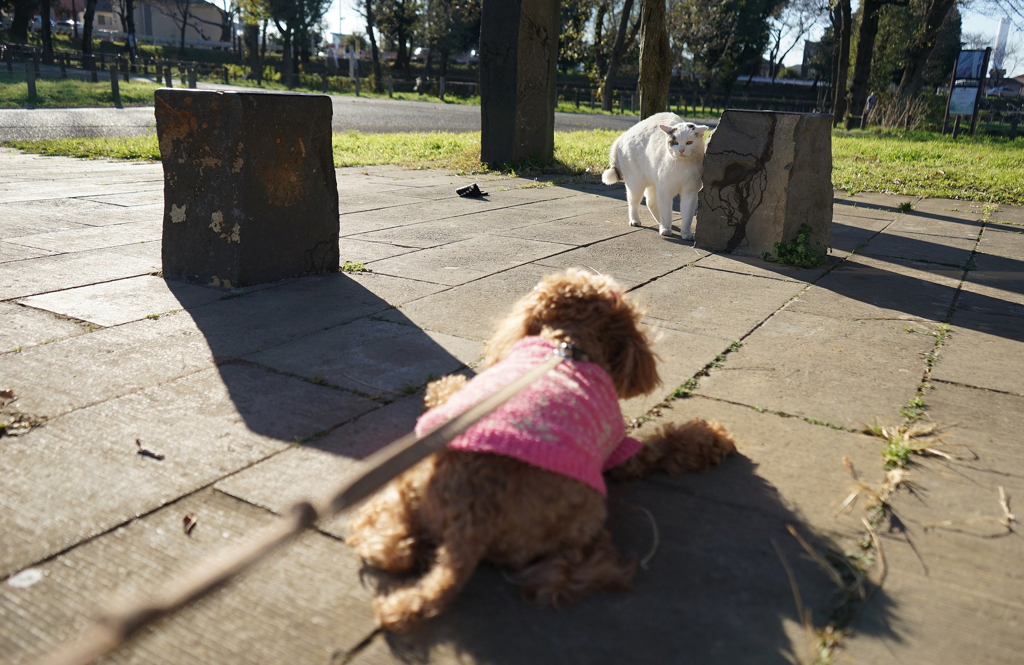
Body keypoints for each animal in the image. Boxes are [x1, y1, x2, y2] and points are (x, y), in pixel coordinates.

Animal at [348, 266, 733, 631]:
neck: (568, 345)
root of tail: (471, 524)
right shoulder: (622, 452)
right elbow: (664, 445)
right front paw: (713, 438)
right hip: (585, 512)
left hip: (413, 486)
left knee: (392, 547)